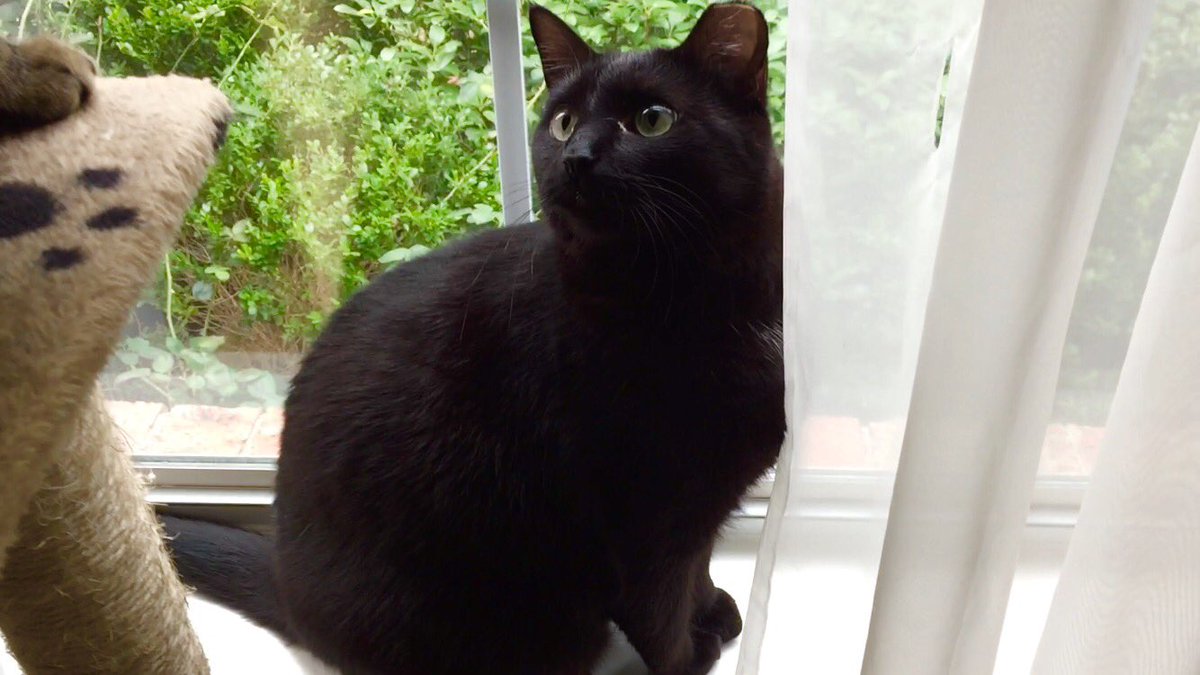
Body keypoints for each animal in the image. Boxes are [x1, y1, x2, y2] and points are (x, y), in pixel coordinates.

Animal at [163, 3, 784, 674]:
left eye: (652, 120)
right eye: (564, 122)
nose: (578, 156)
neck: (695, 297)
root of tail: (287, 586)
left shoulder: (701, 501)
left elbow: (698, 567)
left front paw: (714, 611)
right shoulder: (642, 510)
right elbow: (660, 606)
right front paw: (691, 654)